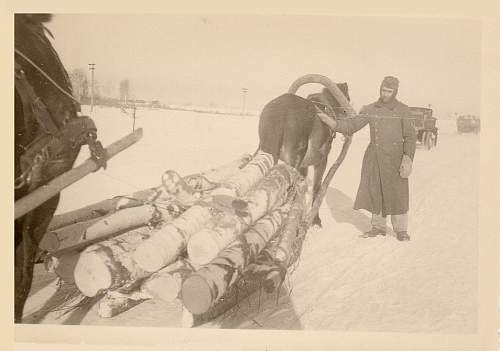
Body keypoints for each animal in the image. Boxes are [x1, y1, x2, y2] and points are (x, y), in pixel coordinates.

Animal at [258, 82, 352, 228]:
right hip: (294, 159)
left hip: (267, 152)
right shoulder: (321, 161)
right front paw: (315, 220)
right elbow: (317, 187)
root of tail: (281, 110)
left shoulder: (304, 165)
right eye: (348, 97)